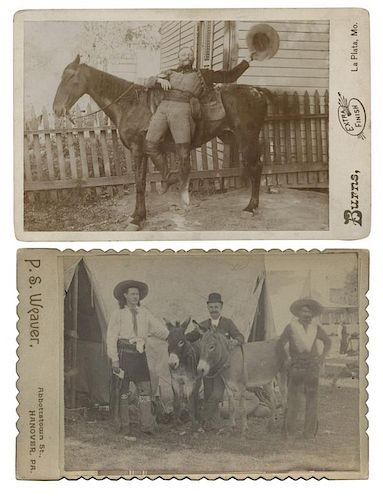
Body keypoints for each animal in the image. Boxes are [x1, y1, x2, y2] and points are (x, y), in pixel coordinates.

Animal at [53, 55, 270, 230]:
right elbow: (141, 180)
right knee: (254, 167)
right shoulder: (144, 150)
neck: (130, 104)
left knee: (256, 167)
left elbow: (140, 183)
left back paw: (250, 208)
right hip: (233, 138)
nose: (56, 109)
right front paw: (138, 215)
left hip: (247, 139)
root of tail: (257, 92)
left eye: (70, 77)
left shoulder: (137, 150)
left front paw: (138, 219)